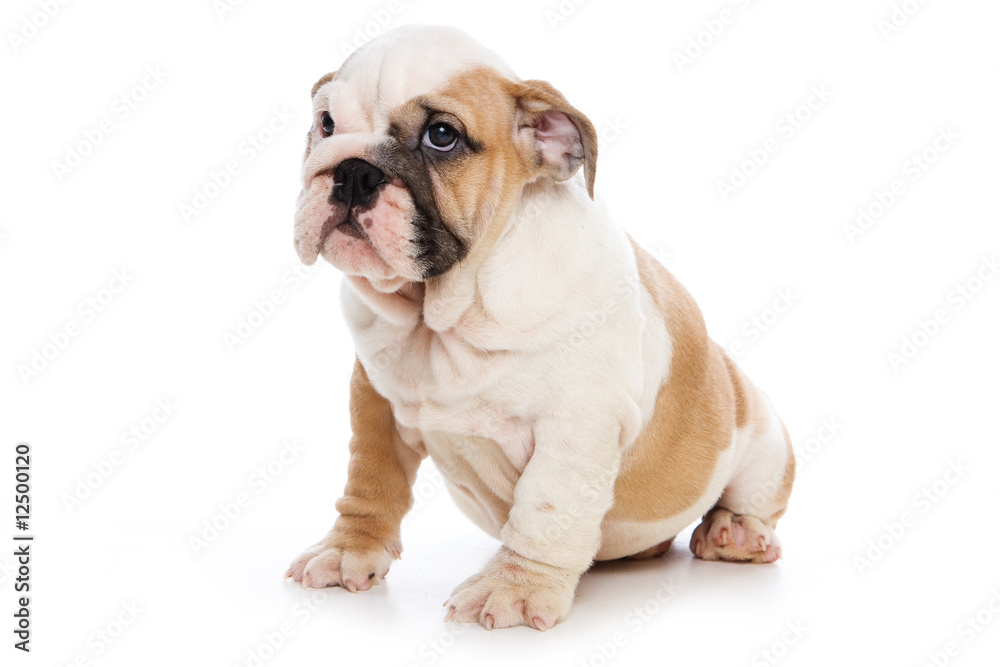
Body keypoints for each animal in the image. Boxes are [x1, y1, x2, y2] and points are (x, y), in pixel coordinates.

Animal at [286, 24, 792, 632]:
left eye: (441, 136)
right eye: (326, 123)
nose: (352, 170)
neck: (446, 319)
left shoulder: (577, 426)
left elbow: (545, 508)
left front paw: (514, 587)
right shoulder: (374, 400)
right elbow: (370, 480)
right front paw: (347, 550)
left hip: (764, 437)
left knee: (753, 497)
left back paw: (734, 531)